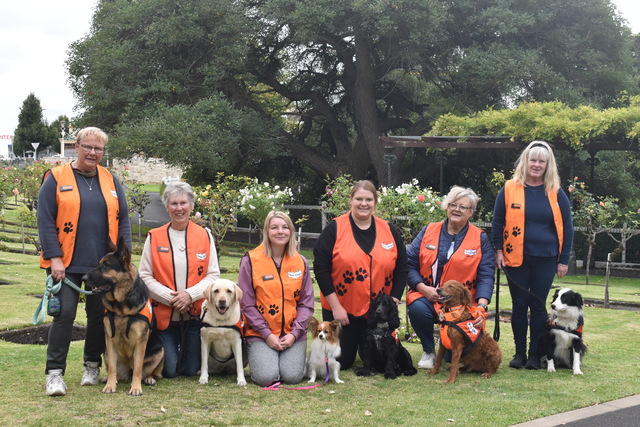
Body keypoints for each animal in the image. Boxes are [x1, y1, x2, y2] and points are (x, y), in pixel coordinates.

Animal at [81, 236, 165, 396]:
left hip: (159, 352)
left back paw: (149, 378)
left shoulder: (141, 342)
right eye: (99, 264)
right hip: (107, 353)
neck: (122, 309)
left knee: (150, 372)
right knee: (115, 371)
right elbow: (112, 369)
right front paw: (110, 385)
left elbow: (138, 368)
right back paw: (111, 379)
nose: (83, 277)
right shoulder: (109, 340)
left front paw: (136, 387)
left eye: (106, 265)